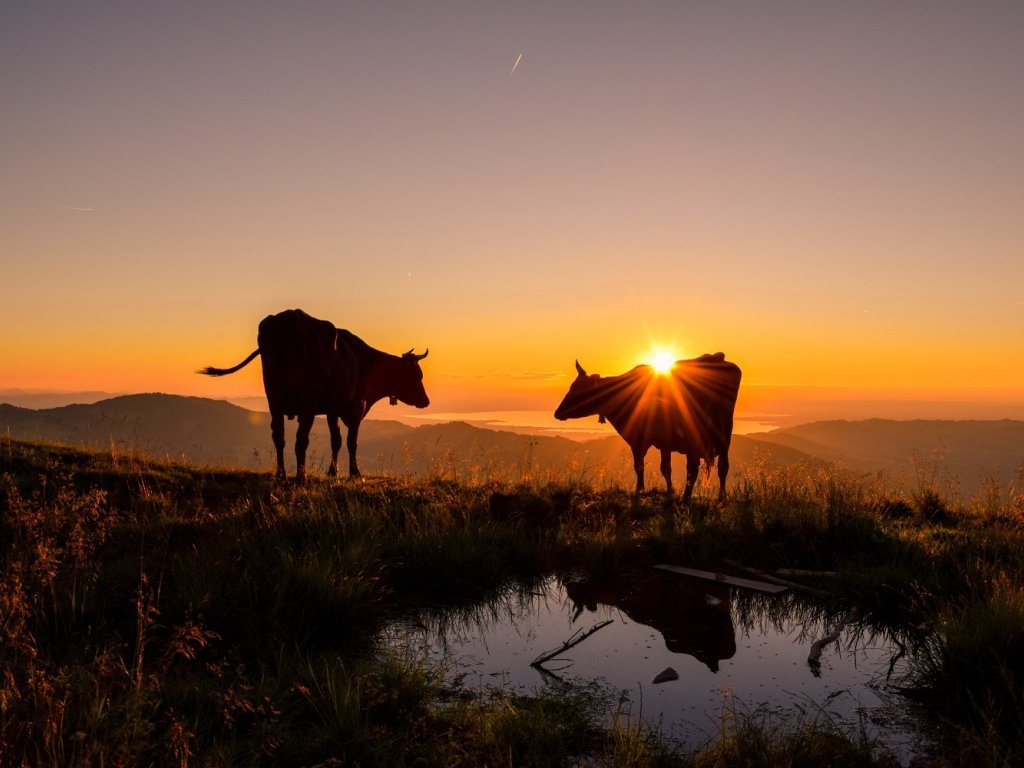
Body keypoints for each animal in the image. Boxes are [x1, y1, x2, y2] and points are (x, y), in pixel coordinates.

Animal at [199, 309, 428, 481]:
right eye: (417, 375)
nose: (426, 401)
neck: (365, 361)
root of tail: (290, 316)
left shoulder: (332, 409)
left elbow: (336, 439)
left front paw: (333, 472)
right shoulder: (356, 406)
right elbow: (351, 441)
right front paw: (355, 473)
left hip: (274, 399)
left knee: (279, 435)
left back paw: (281, 474)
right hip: (306, 402)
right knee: (301, 438)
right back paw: (301, 477)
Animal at [557, 354, 741, 505]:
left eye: (579, 389)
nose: (557, 412)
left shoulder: (639, 440)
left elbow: (641, 466)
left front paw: (642, 492)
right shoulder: (662, 443)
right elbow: (663, 468)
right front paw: (668, 492)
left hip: (694, 438)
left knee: (693, 469)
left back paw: (686, 498)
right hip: (724, 435)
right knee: (723, 467)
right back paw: (721, 498)